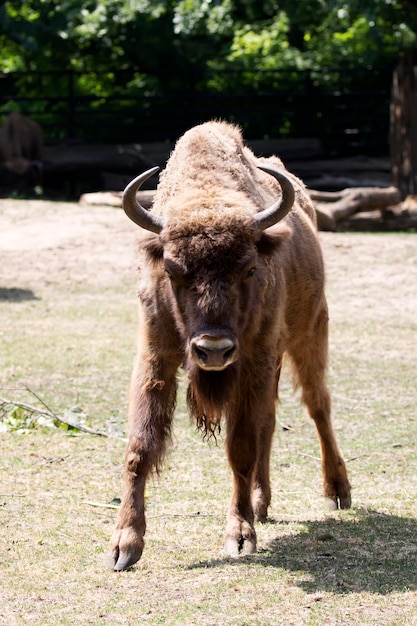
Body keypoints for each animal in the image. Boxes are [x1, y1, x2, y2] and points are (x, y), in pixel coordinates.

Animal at [108, 119, 352, 568]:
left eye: (250, 268)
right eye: (172, 269)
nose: (214, 348)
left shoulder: (253, 358)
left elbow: (240, 447)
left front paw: (239, 536)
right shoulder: (156, 355)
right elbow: (140, 444)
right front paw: (124, 544)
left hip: (310, 333)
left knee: (317, 406)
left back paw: (338, 491)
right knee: (269, 421)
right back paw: (261, 502)